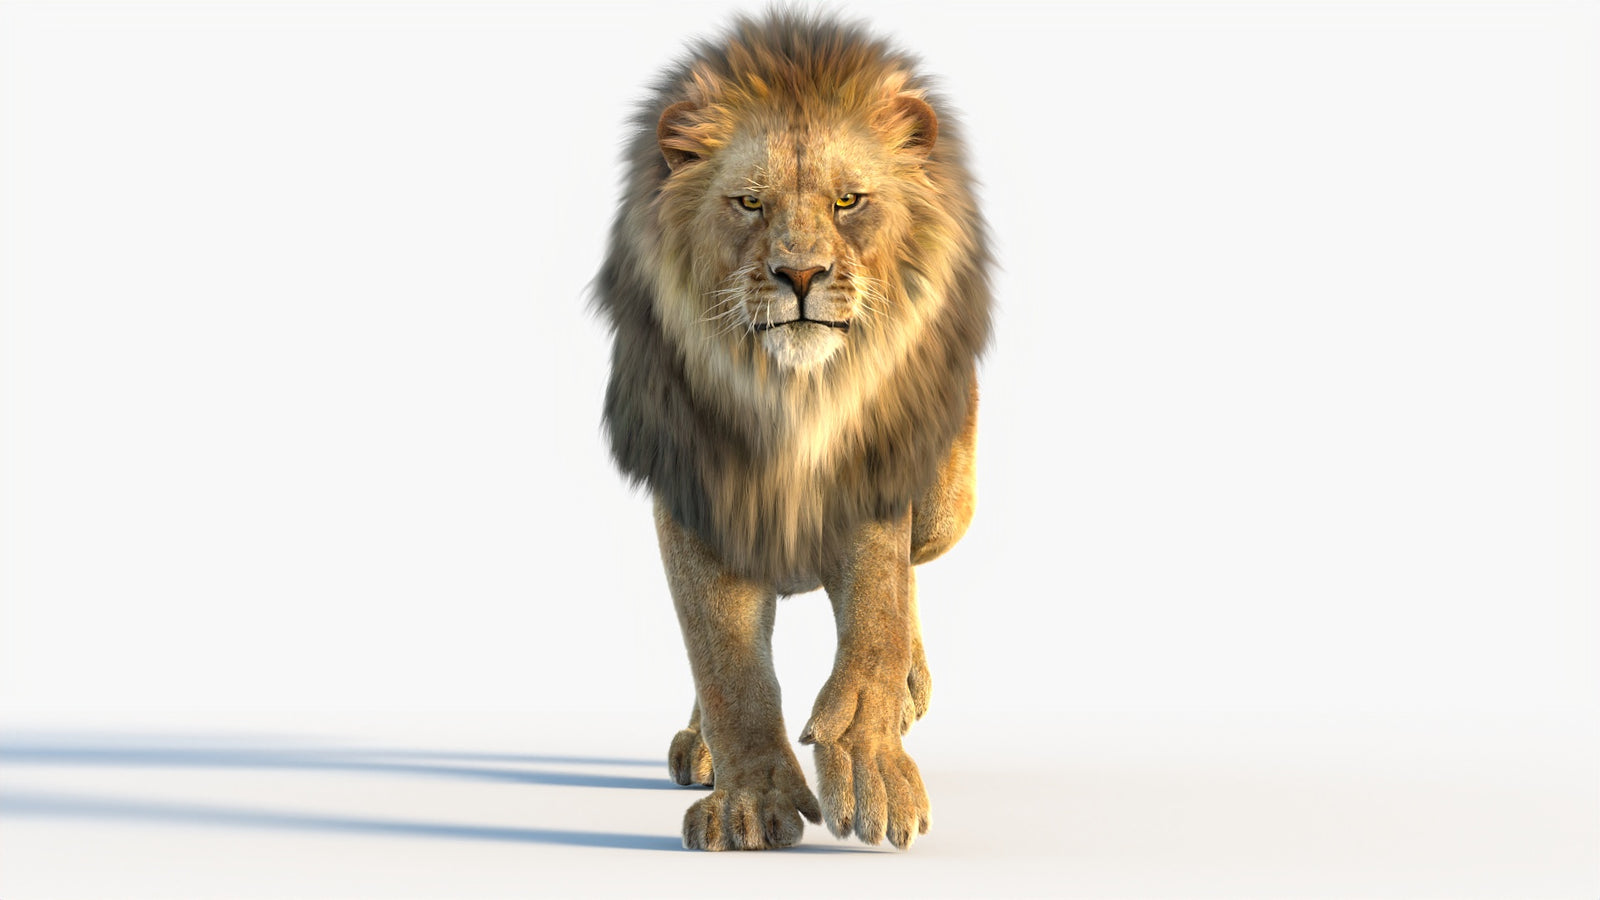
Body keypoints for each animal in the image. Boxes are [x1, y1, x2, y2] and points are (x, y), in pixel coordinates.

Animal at [593, 11, 991, 851]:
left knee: (914, 570)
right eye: (749, 203)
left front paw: (872, 768)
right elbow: (726, 662)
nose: (800, 275)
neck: (788, 397)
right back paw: (701, 746)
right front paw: (749, 806)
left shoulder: (874, 476)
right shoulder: (698, 496)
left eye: (848, 200)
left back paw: (910, 689)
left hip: (951, 502)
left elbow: (877, 617)